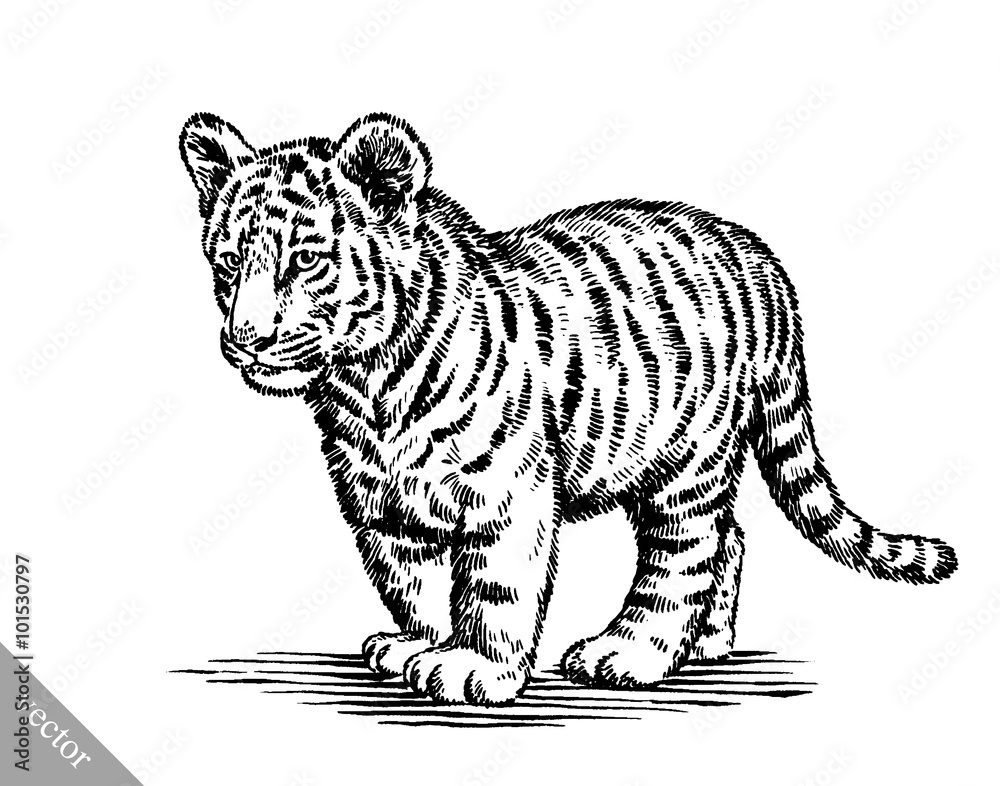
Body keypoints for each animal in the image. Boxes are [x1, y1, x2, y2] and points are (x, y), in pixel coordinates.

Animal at [179, 111, 958, 705]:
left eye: (305, 262)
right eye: (227, 262)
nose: (244, 338)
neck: (367, 386)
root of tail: (755, 256)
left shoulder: (505, 493)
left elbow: (496, 587)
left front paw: (475, 668)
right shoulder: (379, 505)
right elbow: (410, 583)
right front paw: (415, 647)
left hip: (687, 459)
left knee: (684, 554)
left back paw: (630, 653)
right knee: (731, 538)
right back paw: (708, 642)